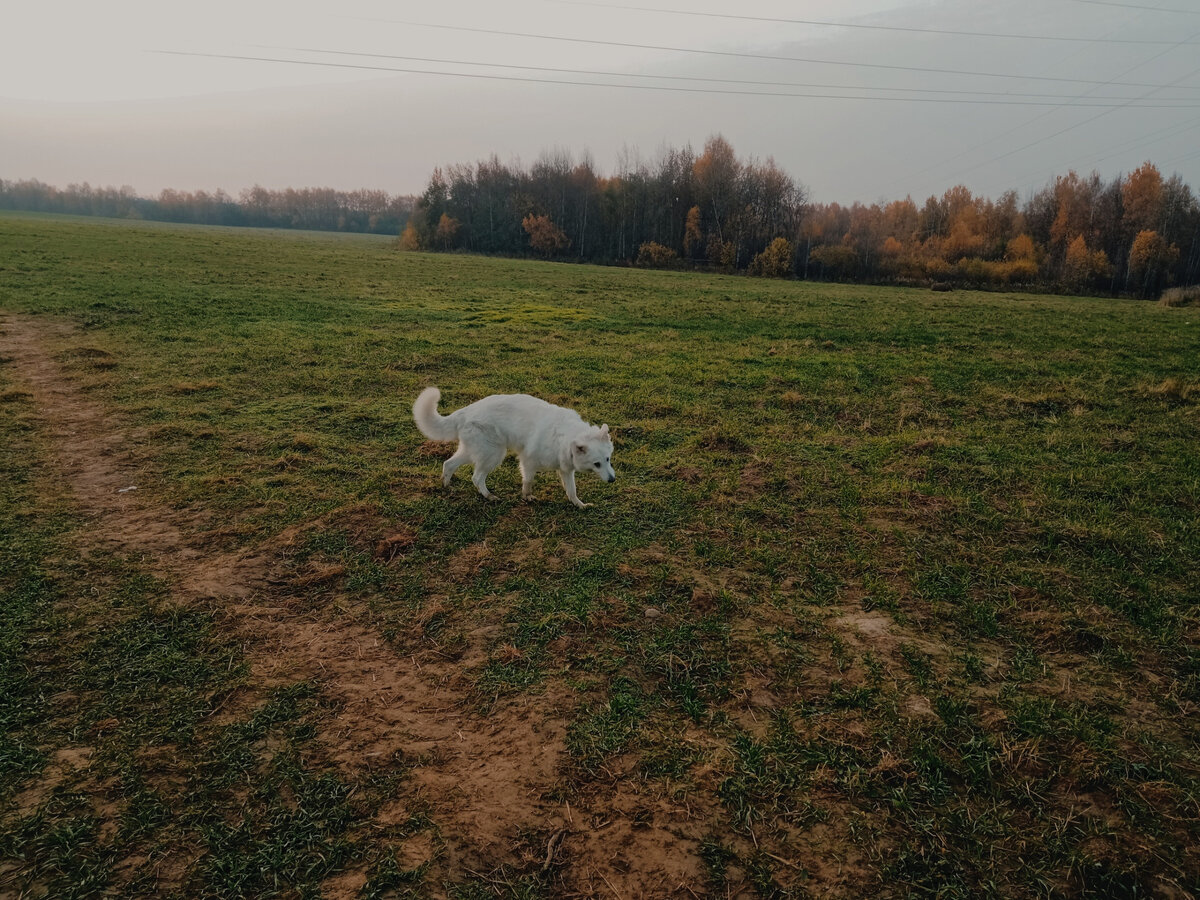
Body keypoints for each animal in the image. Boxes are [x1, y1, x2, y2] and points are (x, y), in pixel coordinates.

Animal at [415, 388, 619, 511]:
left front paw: (580, 505)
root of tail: (465, 411)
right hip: (494, 454)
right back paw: (489, 496)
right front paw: (526, 497)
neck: (565, 437)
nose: (612, 480)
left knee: (448, 464)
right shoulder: (528, 461)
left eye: (608, 459)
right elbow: (528, 481)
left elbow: (572, 491)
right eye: (597, 464)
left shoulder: (566, 470)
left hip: (473, 451)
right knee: (476, 477)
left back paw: (447, 486)